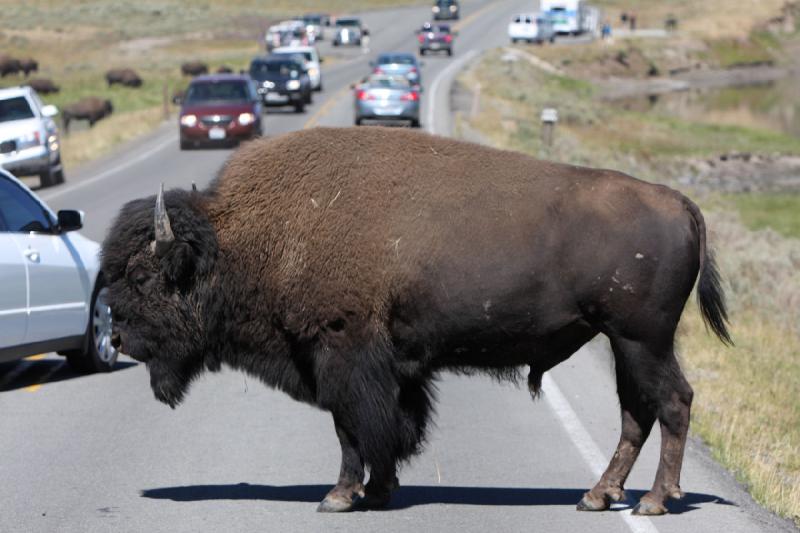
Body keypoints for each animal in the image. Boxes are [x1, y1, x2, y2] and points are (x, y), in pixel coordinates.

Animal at [103, 125, 736, 516]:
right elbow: (386, 426)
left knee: (672, 403)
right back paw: (598, 496)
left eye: (142, 277)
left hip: (641, 339)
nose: (117, 336)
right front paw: (379, 490)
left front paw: (341, 495)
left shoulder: (341, 354)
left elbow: (352, 427)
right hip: (624, 343)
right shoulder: (391, 368)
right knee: (637, 413)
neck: (244, 237)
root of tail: (680, 202)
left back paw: (654, 500)